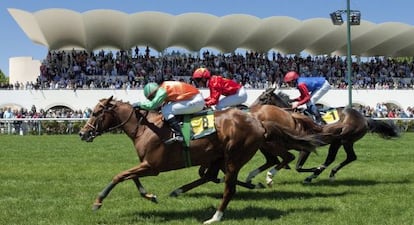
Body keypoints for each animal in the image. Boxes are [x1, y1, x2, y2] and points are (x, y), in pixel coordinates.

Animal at [77, 96, 318, 224]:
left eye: (97, 113)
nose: (82, 133)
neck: (145, 127)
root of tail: (258, 121)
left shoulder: (152, 166)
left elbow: (119, 176)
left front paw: (98, 202)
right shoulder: (146, 164)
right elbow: (131, 178)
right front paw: (150, 195)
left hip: (234, 156)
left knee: (230, 188)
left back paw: (216, 216)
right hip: (220, 156)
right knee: (212, 176)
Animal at [246, 87, 402, 184]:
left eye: (263, 98)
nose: (249, 108)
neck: (292, 119)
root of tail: (364, 118)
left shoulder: (305, 147)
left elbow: (298, 167)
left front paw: (312, 169)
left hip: (345, 140)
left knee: (345, 158)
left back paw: (316, 174)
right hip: (338, 142)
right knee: (340, 158)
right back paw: (323, 174)